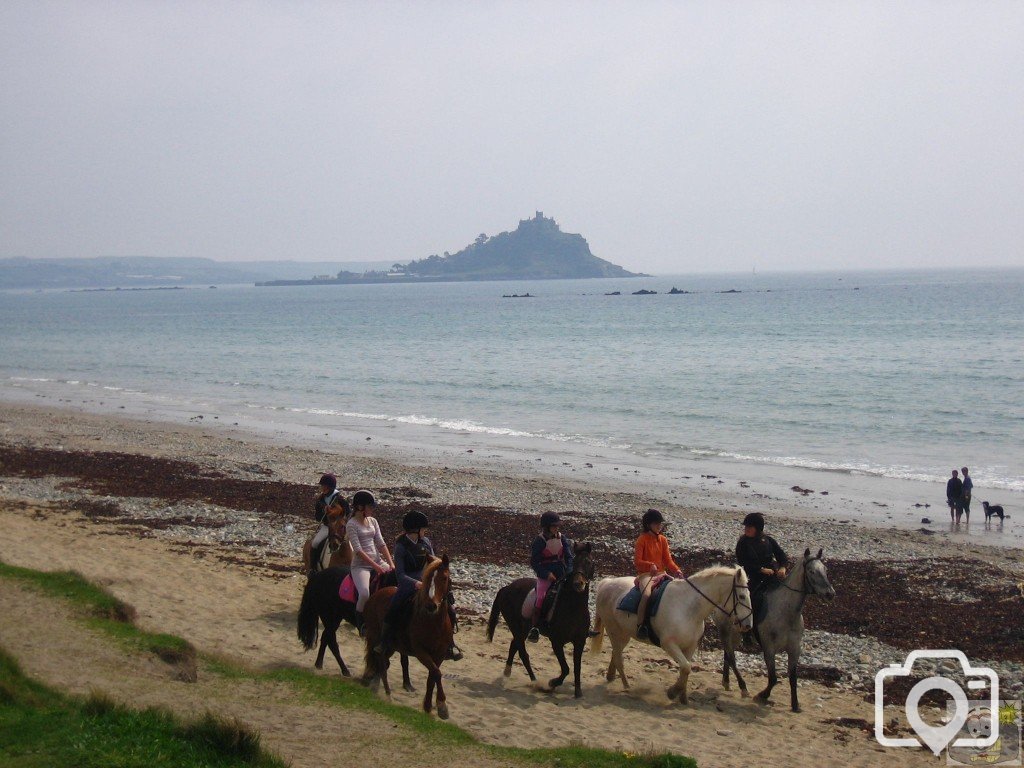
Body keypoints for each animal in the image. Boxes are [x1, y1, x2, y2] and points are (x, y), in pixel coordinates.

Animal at [362, 557, 454, 720]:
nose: (431, 606)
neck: (433, 622)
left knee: (381, 661)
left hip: (391, 647)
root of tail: (374, 596)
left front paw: (428, 707)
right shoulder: (421, 652)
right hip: (374, 637)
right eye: (428, 579)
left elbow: (432, 677)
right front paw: (442, 706)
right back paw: (387, 693)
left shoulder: (440, 654)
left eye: (444, 578)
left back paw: (377, 688)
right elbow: (437, 673)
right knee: (379, 660)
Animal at [485, 544, 598, 700]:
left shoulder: (580, 642)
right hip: (515, 625)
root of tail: (506, 588)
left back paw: (507, 673)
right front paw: (552, 683)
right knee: (523, 653)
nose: (578, 584)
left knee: (514, 645)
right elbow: (566, 669)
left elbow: (577, 668)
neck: (573, 608)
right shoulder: (556, 642)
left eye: (589, 562)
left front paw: (578, 692)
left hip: (522, 628)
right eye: (574, 563)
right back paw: (535, 682)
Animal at [593, 569, 753, 708]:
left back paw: (611, 676)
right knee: (619, 659)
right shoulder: (669, 644)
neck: (689, 607)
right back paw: (627, 687)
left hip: (623, 634)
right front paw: (672, 692)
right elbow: (686, 667)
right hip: (614, 632)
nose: (748, 625)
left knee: (615, 654)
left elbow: (686, 670)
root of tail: (606, 583)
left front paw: (683, 697)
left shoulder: (691, 646)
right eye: (742, 596)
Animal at [712, 548, 839, 712]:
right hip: (725, 630)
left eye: (825, 569)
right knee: (731, 656)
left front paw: (795, 705)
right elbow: (773, 678)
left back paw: (726, 682)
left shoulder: (794, 649)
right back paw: (742, 687)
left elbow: (793, 678)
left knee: (728, 654)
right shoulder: (769, 648)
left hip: (736, 634)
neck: (786, 613)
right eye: (811, 571)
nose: (830, 594)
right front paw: (762, 695)